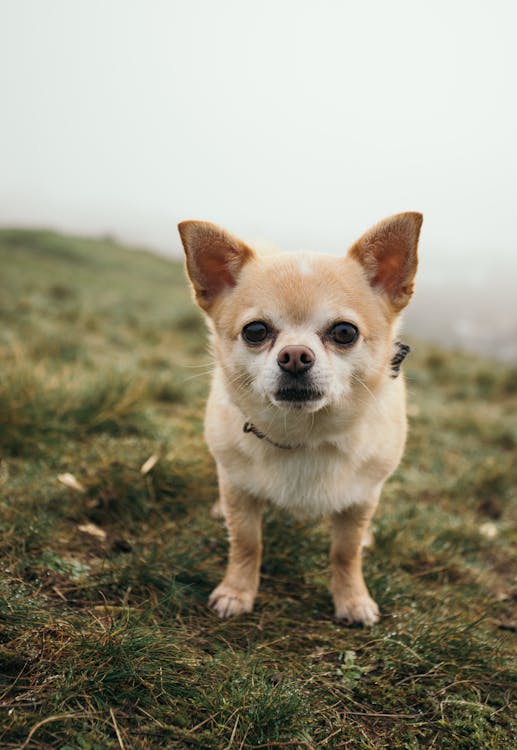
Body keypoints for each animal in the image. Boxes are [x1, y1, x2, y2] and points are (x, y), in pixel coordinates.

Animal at [179, 214, 422, 624]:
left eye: (344, 332)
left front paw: (352, 599)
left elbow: (345, 552)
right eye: (255, 331)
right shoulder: (239, 489)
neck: (306, 436)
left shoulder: (361, 498)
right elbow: (247, 543)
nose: (294, 355)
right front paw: (236, 591)